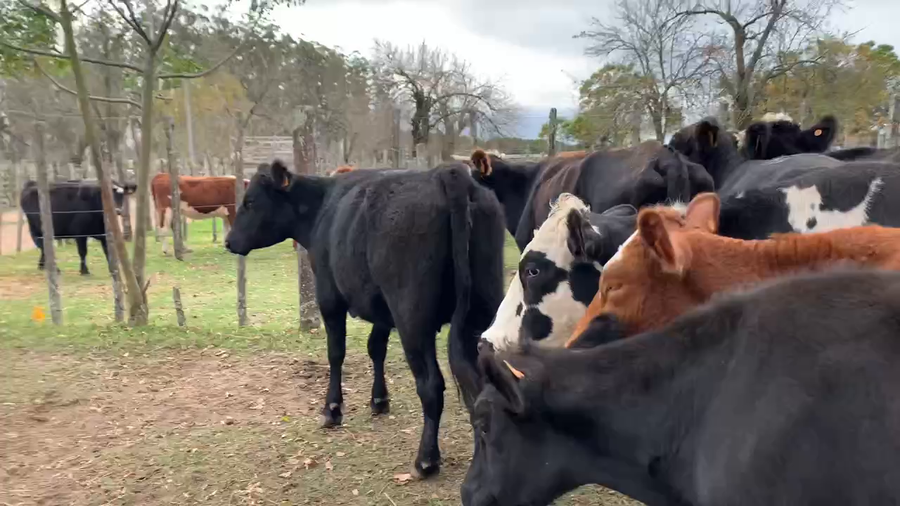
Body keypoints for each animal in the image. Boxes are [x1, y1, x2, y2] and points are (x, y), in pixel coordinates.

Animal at [224, 160, 505, 479]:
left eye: (250, 201)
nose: (229, 241)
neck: (322, 207)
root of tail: (447, 173)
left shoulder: (329, 297)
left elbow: (336, 353)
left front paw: (332, 410)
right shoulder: (381, 309)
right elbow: (375, 348)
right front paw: (379, 400)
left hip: (411, 316)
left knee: (431, 384)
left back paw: (426, 460)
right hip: (484, 307)